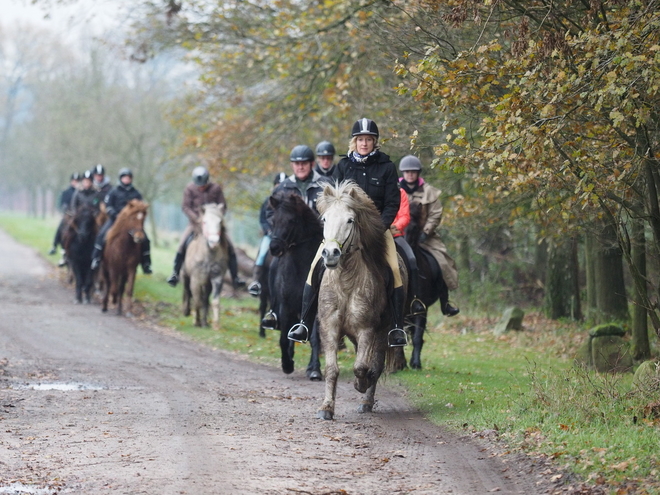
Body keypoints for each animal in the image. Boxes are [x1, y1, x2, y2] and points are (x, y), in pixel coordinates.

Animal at [268, 190, 324, 380]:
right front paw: (287, 364)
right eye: (273, 220)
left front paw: (314, 369)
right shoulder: (285, 306)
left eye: (291, 220)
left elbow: (314, 339)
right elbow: (284, 338)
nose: (274, 248)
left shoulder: (314, 309)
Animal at [314, 182, 402, 422]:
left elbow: (362, 366)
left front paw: (361, 384)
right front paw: (326, 408)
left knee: (376, 364)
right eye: (324, 219)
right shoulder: (330, 327)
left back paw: (366, 401)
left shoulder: (367, 329)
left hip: (383, 331)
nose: (331, 253)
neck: (346, 281)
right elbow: (332, 369)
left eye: (350, 220)